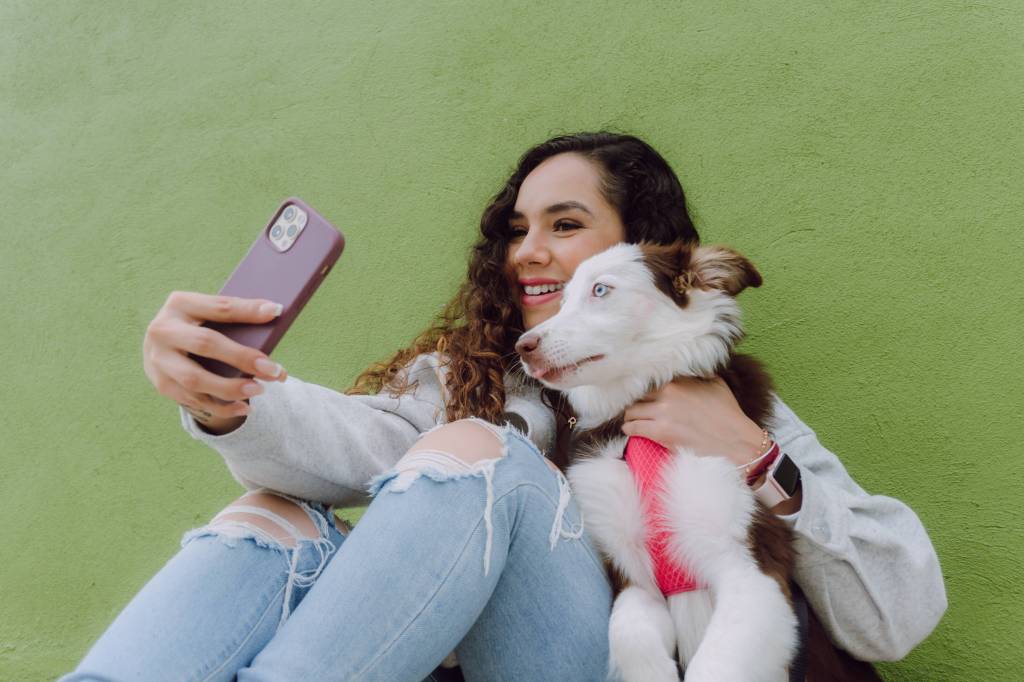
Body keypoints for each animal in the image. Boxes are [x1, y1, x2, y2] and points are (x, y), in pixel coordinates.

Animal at [520, 240, 880, 679]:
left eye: (601, 290)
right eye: (563, 299)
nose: (522, 347)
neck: (636, 414)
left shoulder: (751, 567)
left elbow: (715, 666)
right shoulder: (633, 576)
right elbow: (630, 637)